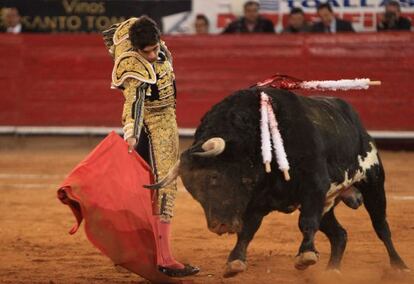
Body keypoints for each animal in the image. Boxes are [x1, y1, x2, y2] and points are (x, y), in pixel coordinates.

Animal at [148, 87, 408, 278]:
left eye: (214, 178)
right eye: (193, 191)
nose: (219, 226)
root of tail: (356, 122)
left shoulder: (314, 186)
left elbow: (306, 222)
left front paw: (305, 255)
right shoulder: (256, 201)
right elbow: (248, 230)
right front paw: (234, 261)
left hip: (373, 182)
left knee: (381, 227)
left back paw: (399, 266)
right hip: (328, 202)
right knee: (340, 235)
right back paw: (332, 270)